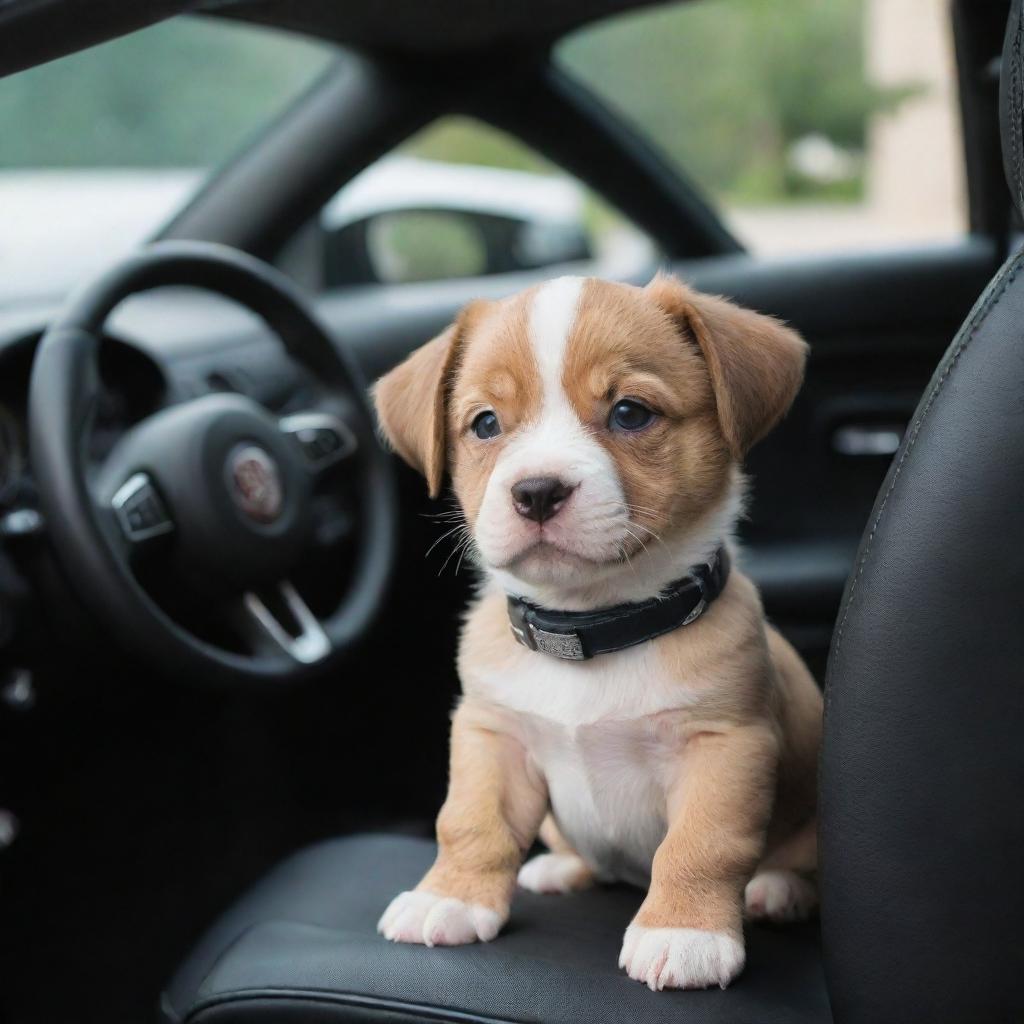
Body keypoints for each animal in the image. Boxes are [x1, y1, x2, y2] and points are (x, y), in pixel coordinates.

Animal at [372, 274, 819, 991]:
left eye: (630, 413)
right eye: (485, 423)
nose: (536, 491)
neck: (589, 628)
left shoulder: (725, 746)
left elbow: (703, 845)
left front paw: (685, 933)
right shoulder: (491, 736)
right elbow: (470, 823)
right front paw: (450, 897)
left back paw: (780, 888)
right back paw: (563, 866)